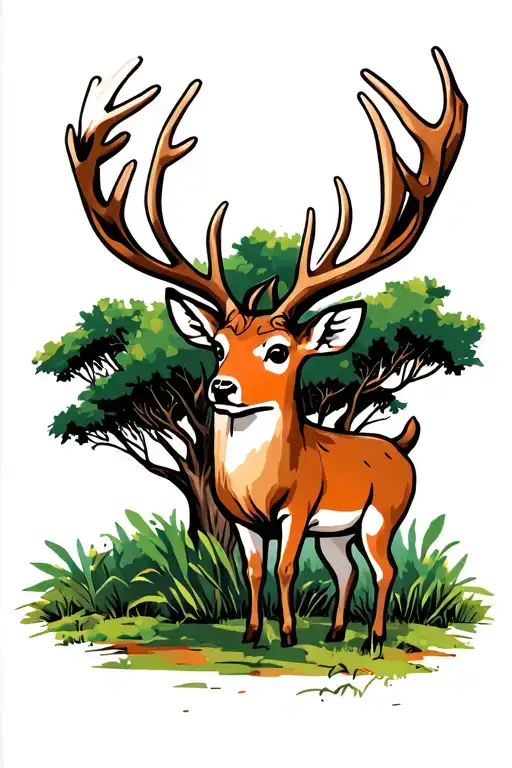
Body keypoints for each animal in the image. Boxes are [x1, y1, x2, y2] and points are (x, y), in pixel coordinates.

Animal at [66, 48, 467, 658]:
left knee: (385, 569)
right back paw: (336, 631)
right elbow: (254, 570)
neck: (265, 482)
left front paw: (287, 635)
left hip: (384, 514)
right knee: (347, 569)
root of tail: (401, 443)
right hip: (340, 531)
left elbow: (284, 570)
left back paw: (371, 639)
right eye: (217, 346)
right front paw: (254, 634)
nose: (221, 387)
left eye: (278, 351)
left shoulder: (299, 508)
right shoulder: (246, 520)